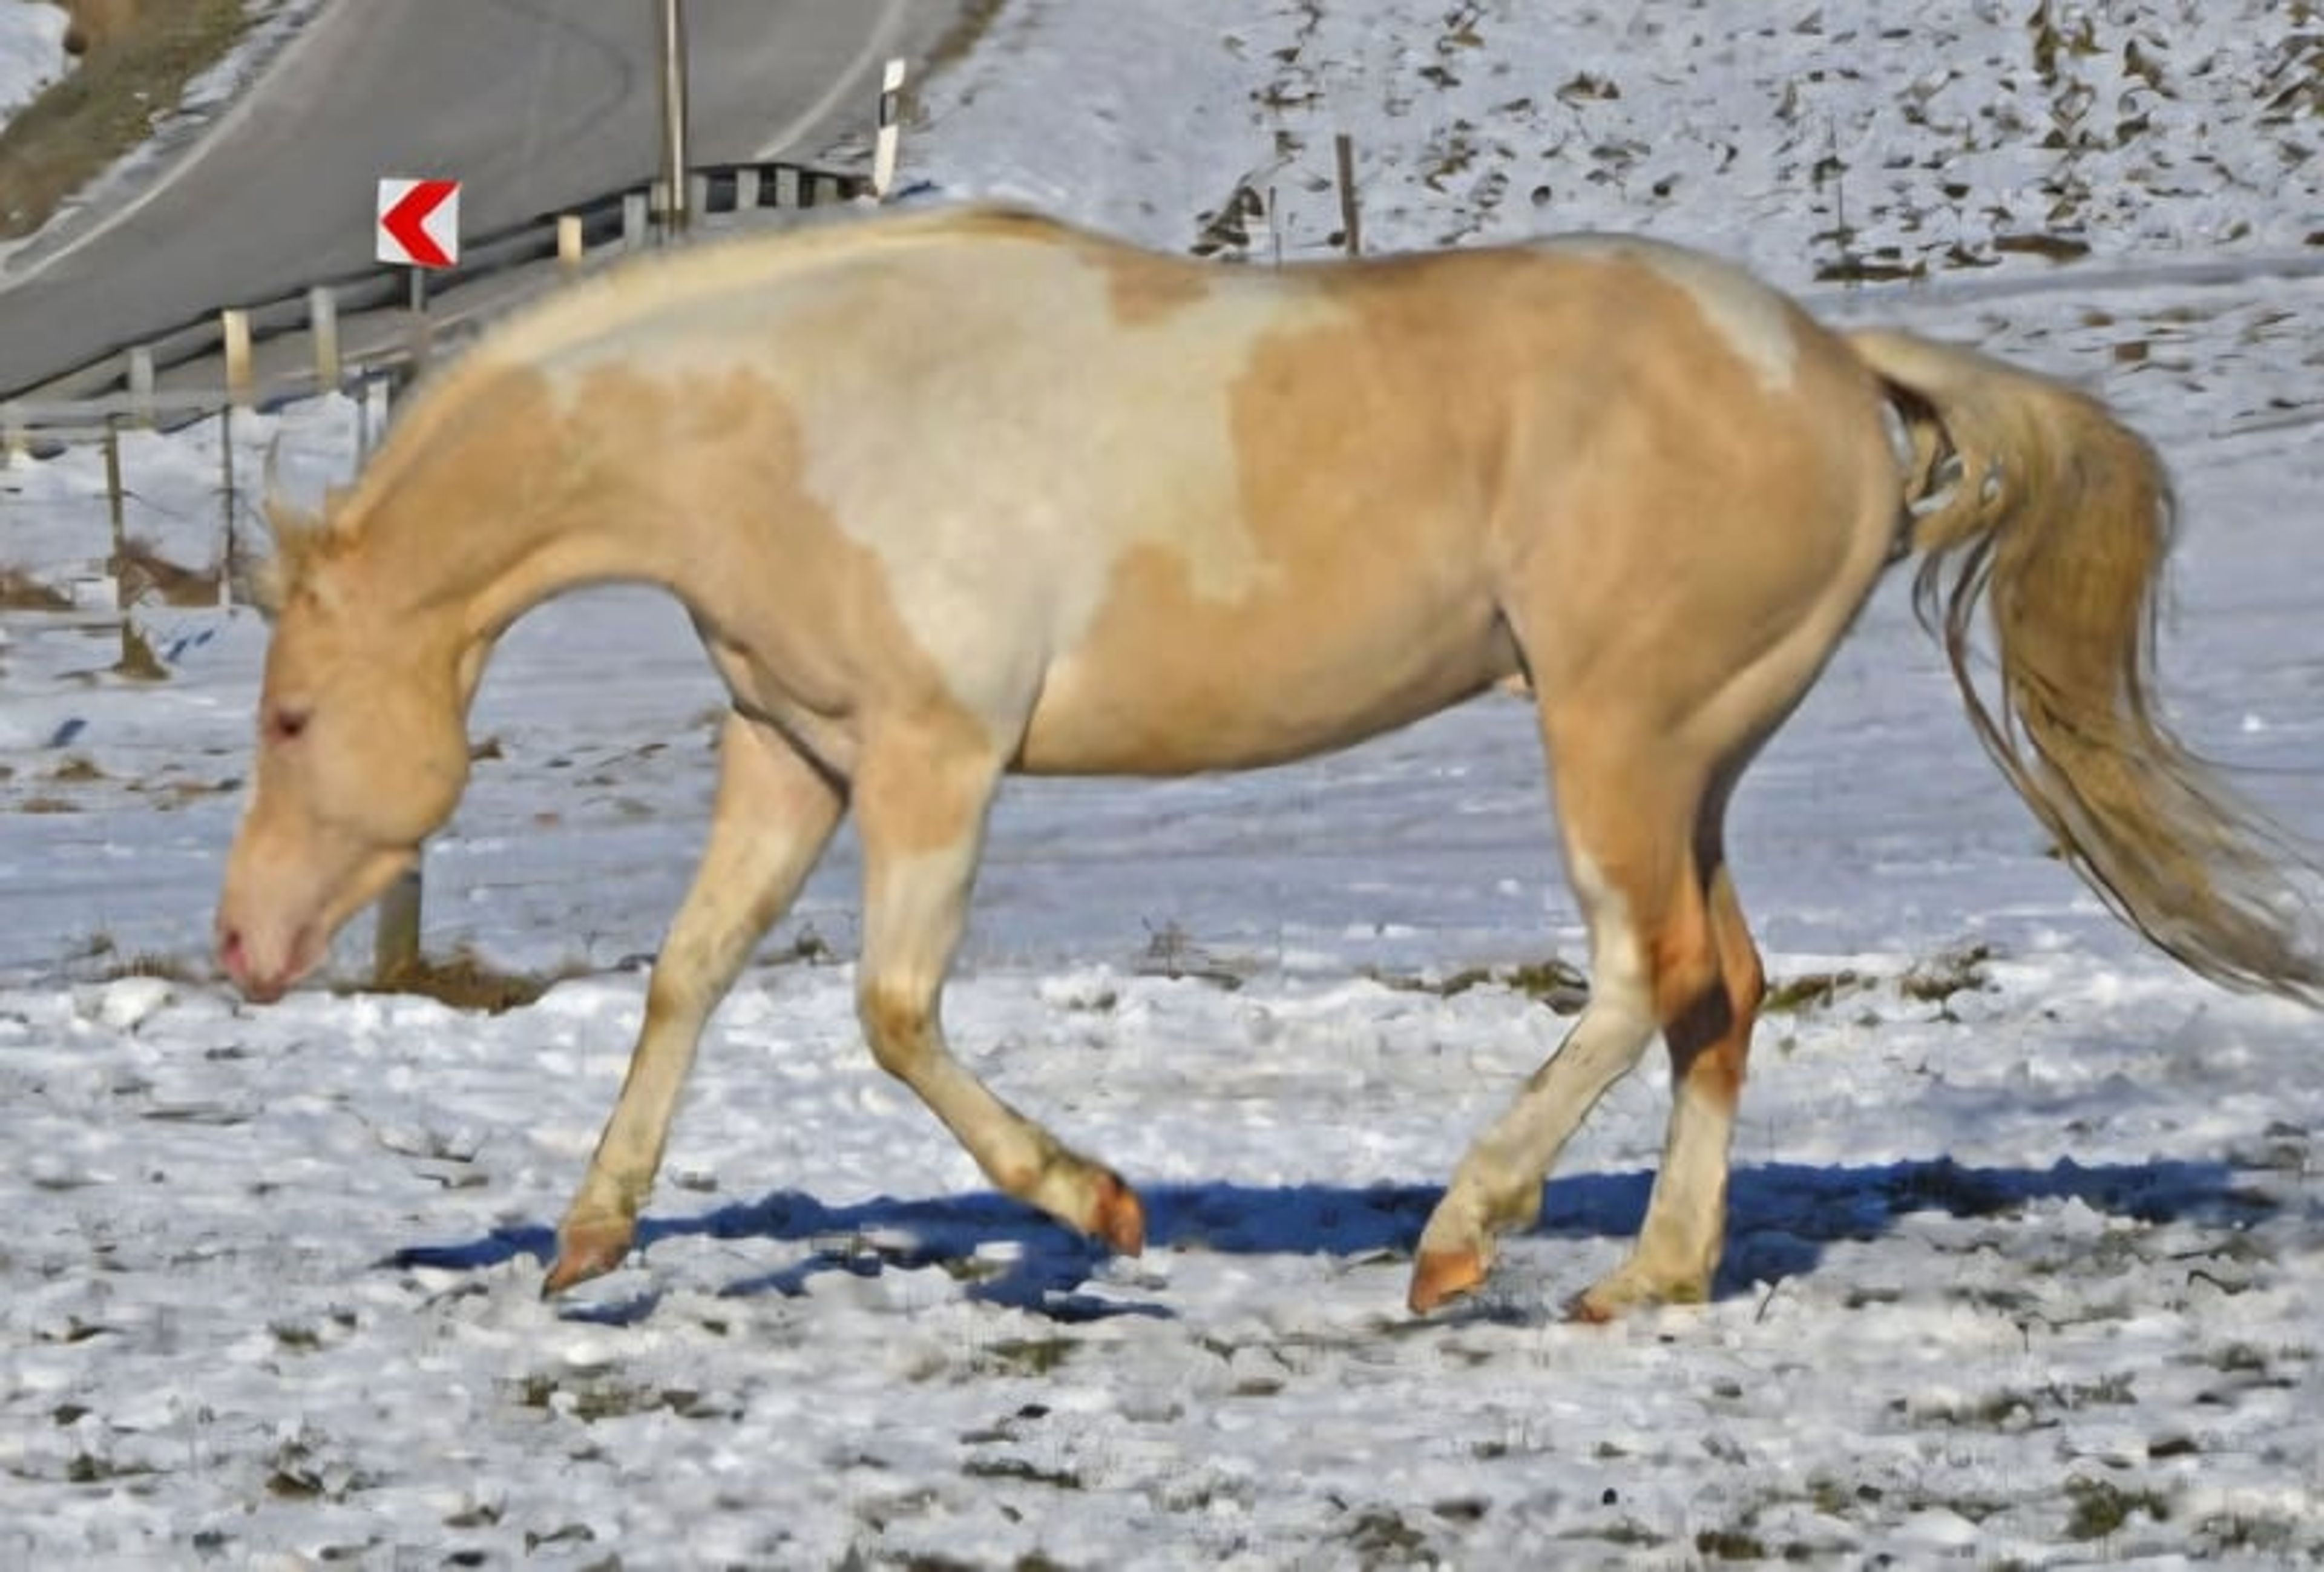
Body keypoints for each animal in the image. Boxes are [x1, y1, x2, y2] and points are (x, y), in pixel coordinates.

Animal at [215, 203, 2321, 1319]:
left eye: (292, 715)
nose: (241, 950)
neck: (799, 413)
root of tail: (1826, 362)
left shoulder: (934, 762)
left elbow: (891, 1014)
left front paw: (1098, 1207)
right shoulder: (790, 754)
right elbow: (689, 971)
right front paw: (587, 1237)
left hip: (1611, 734)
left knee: (1636, 970)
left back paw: (1462, 1237)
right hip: (1695, 761)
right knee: (1717, 991)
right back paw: (1644, 1276)